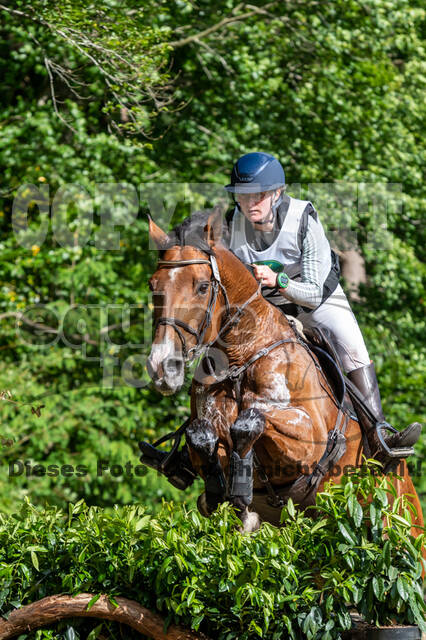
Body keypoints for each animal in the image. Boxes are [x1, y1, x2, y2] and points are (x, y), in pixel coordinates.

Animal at [145, 207, 424, 546]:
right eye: (153, 285)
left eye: (201, 287)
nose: (163, 366)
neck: (241, 356)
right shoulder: (211, 433)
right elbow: (201, 435)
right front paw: (224, 499)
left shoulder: (308, 441)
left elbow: (251, 420)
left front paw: (242, 500)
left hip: (401, 528)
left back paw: (394, 442)